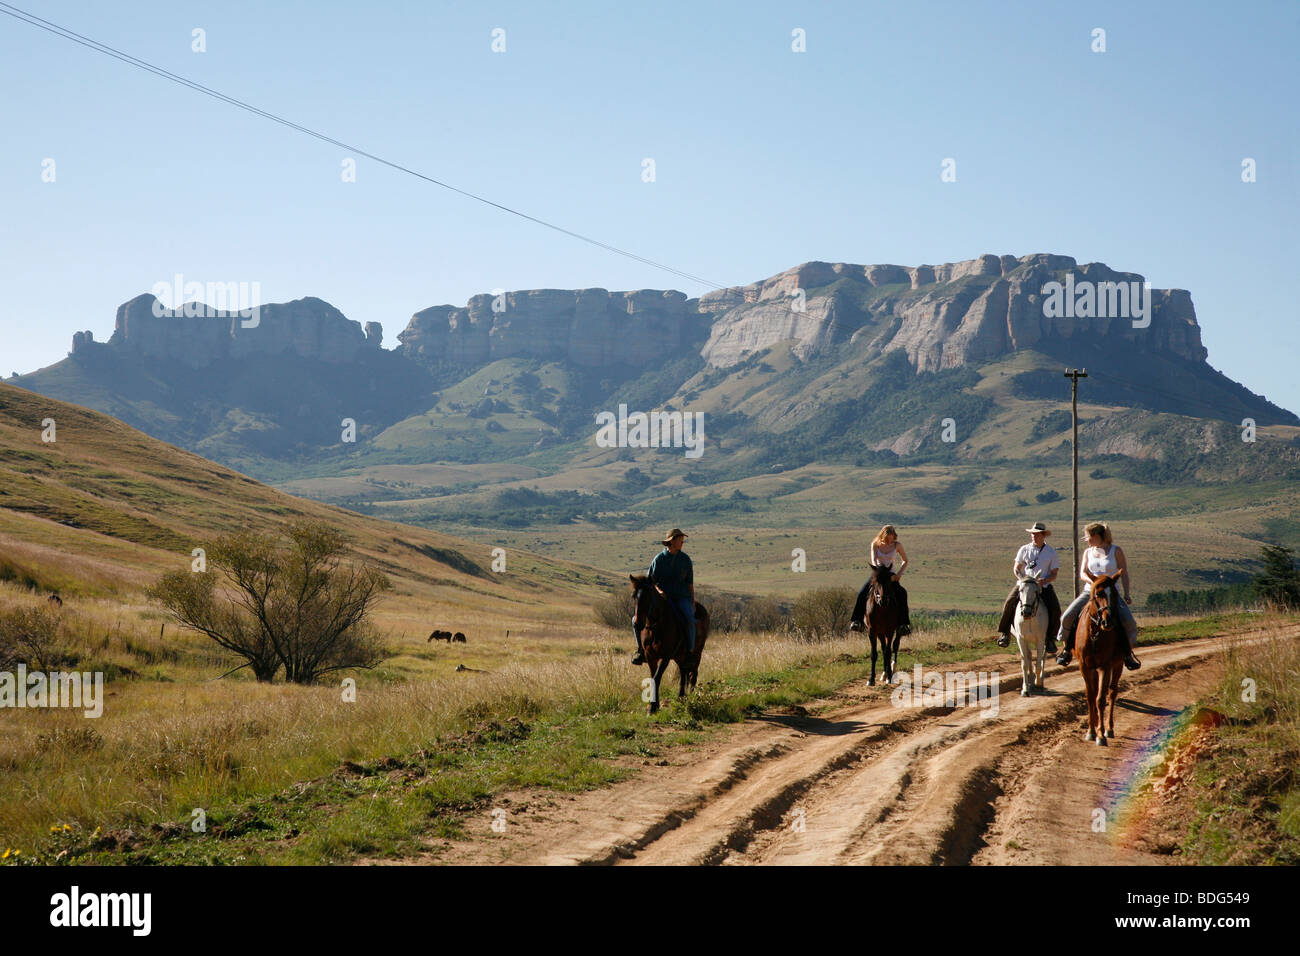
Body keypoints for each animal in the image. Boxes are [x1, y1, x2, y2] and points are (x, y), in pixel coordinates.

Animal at [629, 572, 712, 712]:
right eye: (634, 596)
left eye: (648, 596)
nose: (637, 623)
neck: (656, 627)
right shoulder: (651, 656)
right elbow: (653, 678)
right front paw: (654, 705)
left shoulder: (666, 657)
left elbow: (657, 677)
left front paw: (653, 707)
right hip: (680, 656)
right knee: (683, 672)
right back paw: (681, 697)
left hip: (696, 654)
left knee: (693, 674)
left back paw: (691, 696)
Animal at [1076, 572, 1128, 743]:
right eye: (1098, 594)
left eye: (1116, 594)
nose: (1108, 621)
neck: (1094, 634)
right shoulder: (1085, 667)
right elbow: (1091, 697)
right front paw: (1091, 731)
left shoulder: (1104, 666)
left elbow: (1100, 699)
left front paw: (1100, 734)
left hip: (1117, 665)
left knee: (1112, 693)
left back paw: (1109, 729)